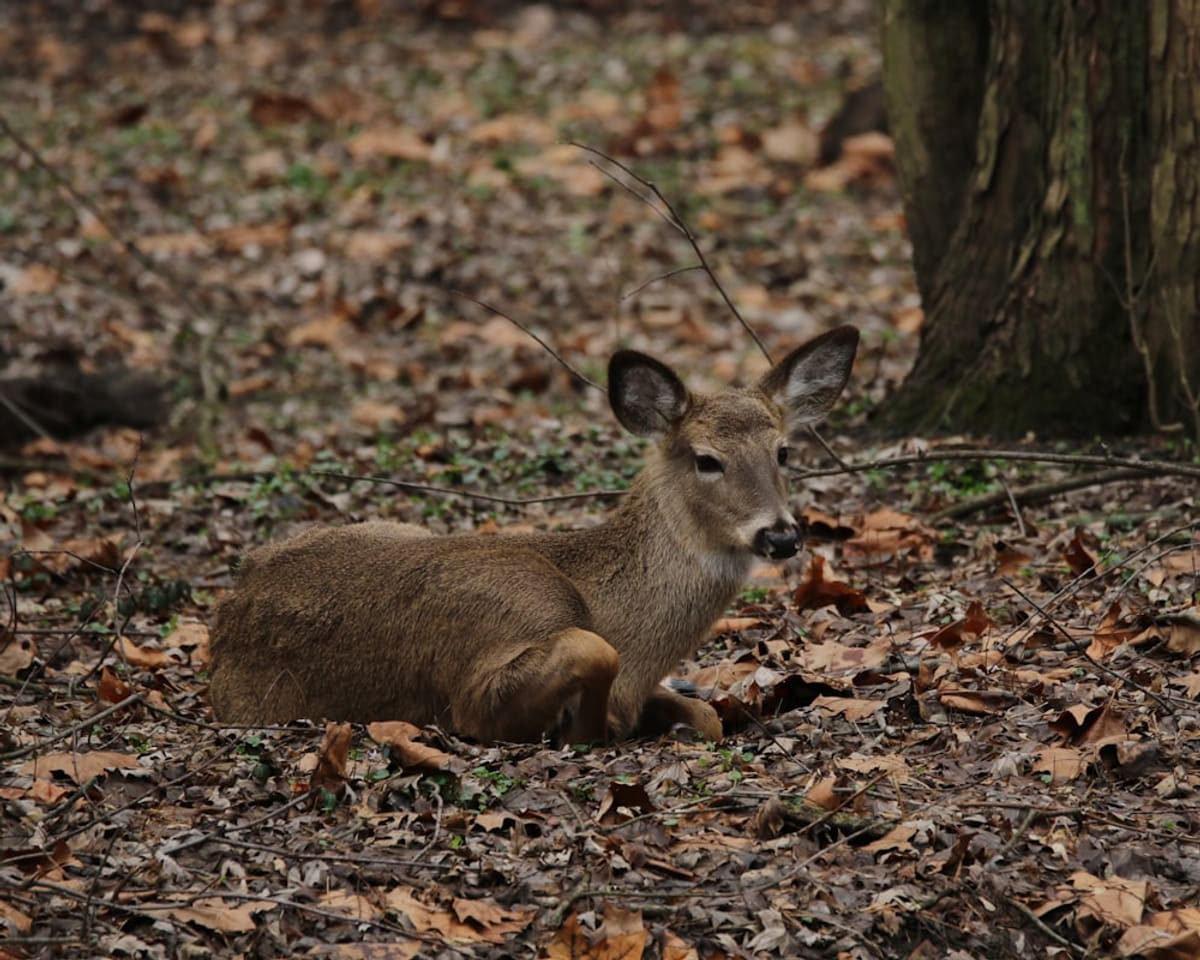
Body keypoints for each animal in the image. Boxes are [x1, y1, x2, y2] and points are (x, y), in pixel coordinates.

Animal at [208, 326, 859, 743]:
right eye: (706, 459)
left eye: (783, 450)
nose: (781, 537)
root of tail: (227, 609)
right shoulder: (474, 689)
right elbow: (591, 653)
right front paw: (583, 730)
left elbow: (708, 716)